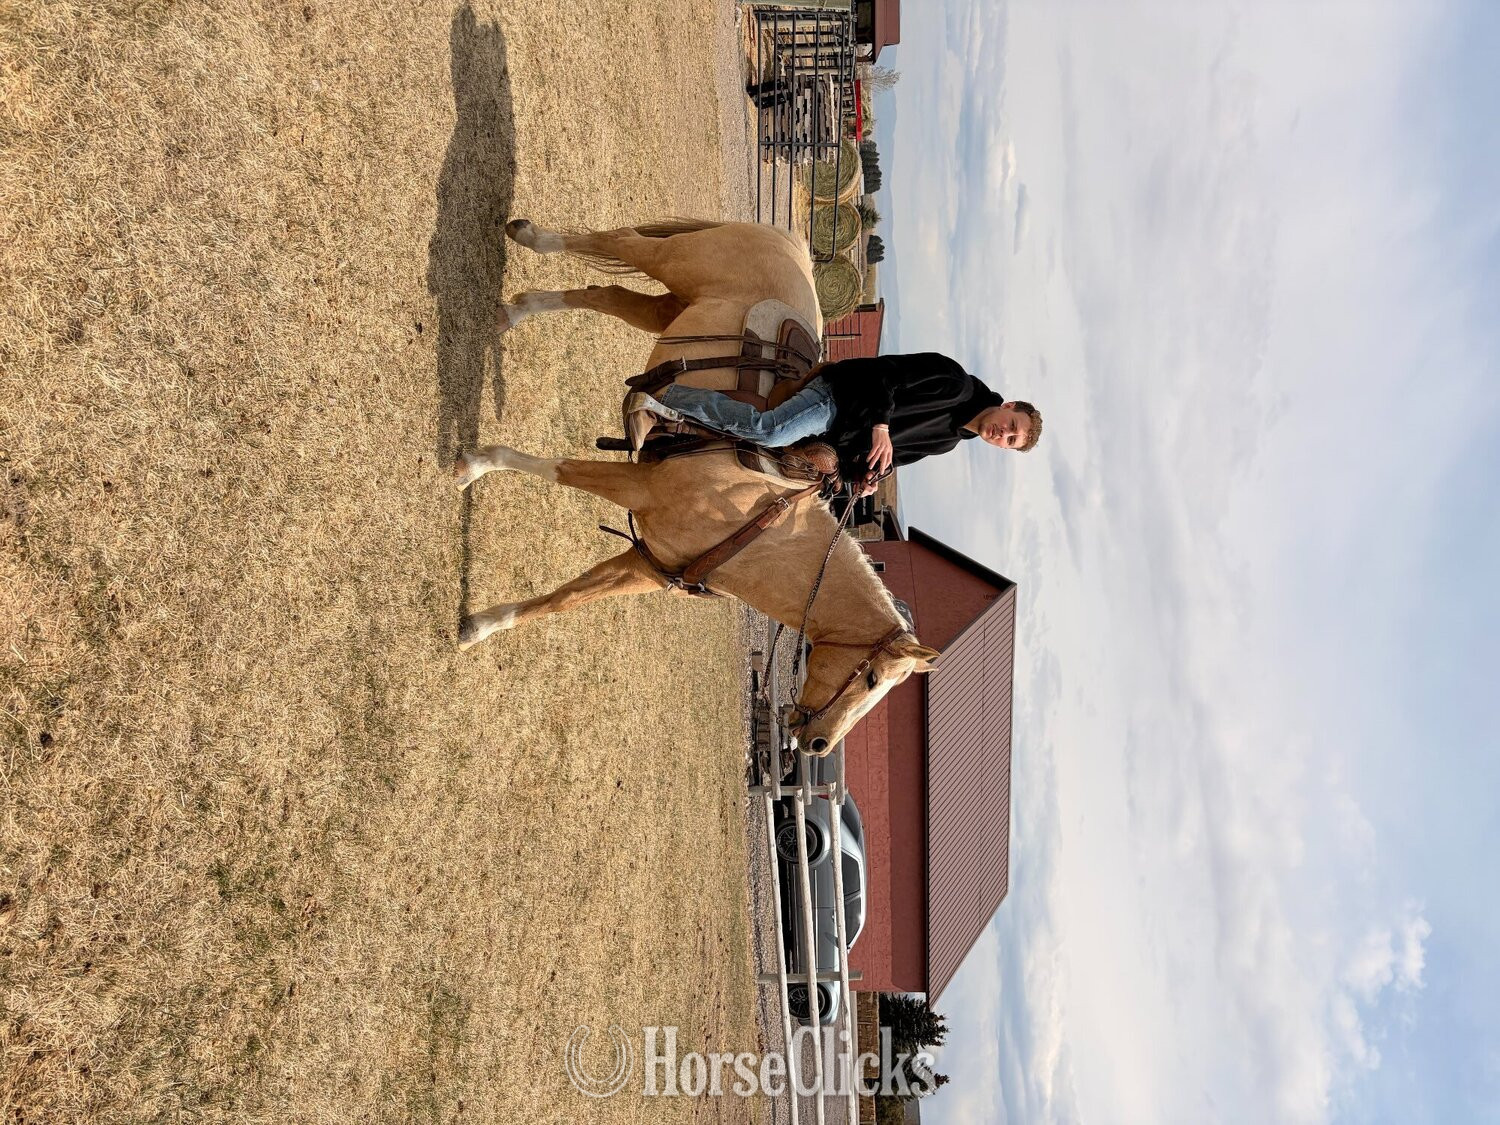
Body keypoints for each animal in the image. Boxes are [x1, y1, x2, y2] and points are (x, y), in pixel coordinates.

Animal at [455, 218, 939, 755]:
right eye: (873, 681)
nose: (817, 745)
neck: (758, 526)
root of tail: (790, 241)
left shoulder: (646, 565)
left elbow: (563, 600)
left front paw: (478, 627)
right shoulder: (636, 488)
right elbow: (553, 468)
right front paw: (472, 465)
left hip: (673, 307)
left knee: (605, 293)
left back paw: (513, 312)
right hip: (672, 260)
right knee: (614, 244)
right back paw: (530, 238)